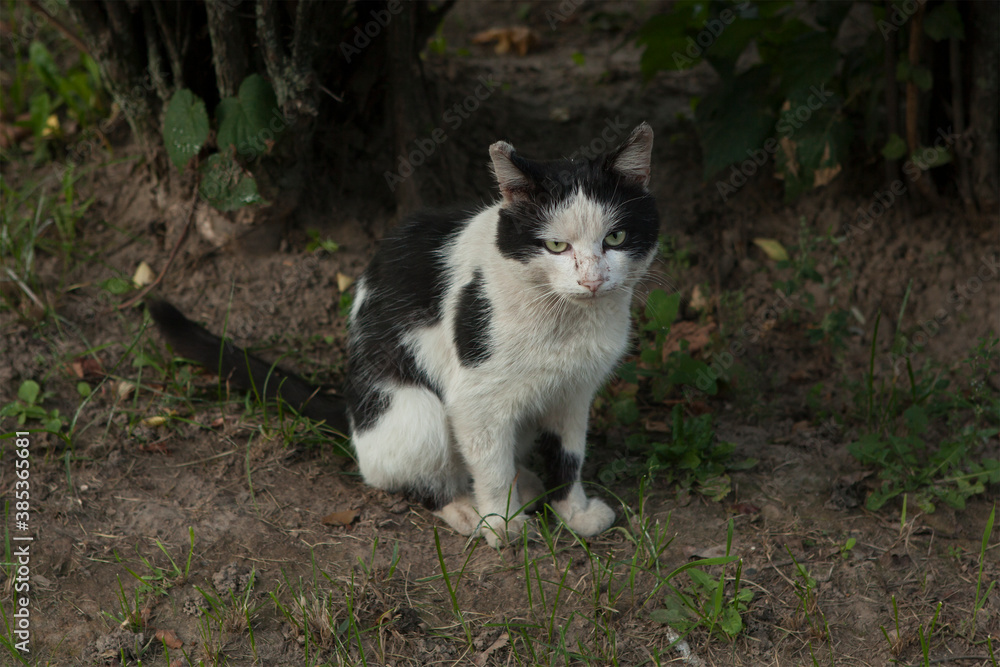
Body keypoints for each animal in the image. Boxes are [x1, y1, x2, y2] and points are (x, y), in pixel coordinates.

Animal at [150, 122, 656, 544]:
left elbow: (568, 456)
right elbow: (489, 466)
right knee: (405, 475)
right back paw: (466, 508)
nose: (592, 280)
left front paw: (574, 512)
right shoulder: (476, 398)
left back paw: (524, 483)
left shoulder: (573, 394)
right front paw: (503, 524)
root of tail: (352, 411)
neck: (565, 322)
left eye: (615, 238)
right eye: (555, 245)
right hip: (415, 410)